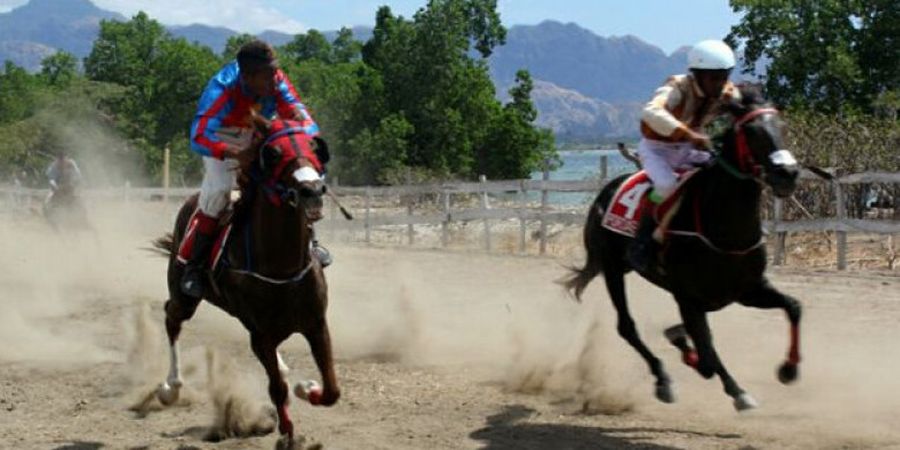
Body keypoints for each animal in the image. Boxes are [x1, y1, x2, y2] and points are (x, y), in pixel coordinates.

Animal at [153, 114, 340, 444]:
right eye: (273, 153)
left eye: (313, 146)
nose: (313, 191)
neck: (282, 267)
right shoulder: (260, 335)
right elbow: (277, 388)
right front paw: (288, 434)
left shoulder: (316, 324)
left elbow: (331, 389)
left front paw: (308, 388)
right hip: (184, 295)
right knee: (171, 318)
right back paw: (170, 388)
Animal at [564, 89, 800, 410]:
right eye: (751, 131)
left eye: (783, 126)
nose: (787, 173)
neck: (723, 230)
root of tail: (606, 191)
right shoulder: (688, 298)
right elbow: (707, 358)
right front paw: (733, 387)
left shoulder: (747, 290)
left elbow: (793, 306)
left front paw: (788, 369)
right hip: (612, 269)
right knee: (627, 326)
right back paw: (663, 379)